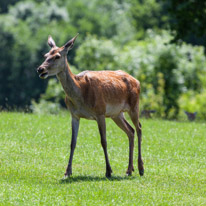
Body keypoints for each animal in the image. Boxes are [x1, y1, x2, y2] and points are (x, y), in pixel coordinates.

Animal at [36, 33, 144, 177]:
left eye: (57, 56)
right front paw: (67, 172)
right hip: (117, 114)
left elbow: (104, 141)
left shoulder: (100, 112)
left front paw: (108, 171)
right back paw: (129, 170)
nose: (40, 69)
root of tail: (137, 81)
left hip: (134, 105)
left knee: (139, 128)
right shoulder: (74, 115)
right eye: (45, 55)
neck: (80, 93)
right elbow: (72, 142)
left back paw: (141, 168)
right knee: (130, 131)